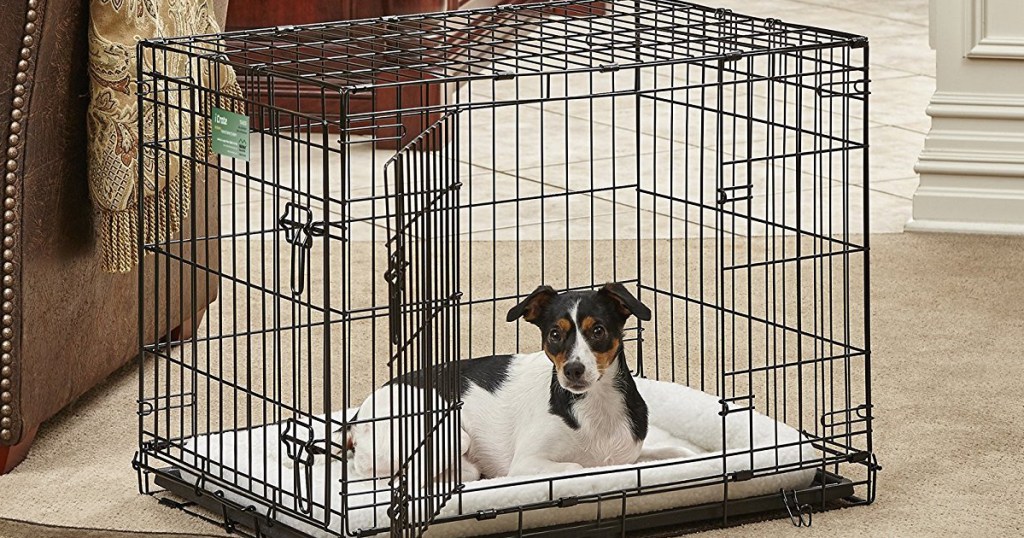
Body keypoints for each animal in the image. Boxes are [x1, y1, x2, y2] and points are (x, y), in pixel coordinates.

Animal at [341, 282, 690, 484]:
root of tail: (358, 416)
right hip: (448, 432)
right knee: (396, 477)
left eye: (598, 330)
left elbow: (680, 452)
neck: (595, 407)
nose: (573, 370)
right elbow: (577, 468)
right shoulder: (527, 463)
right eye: (554, 334)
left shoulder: (629, 456)